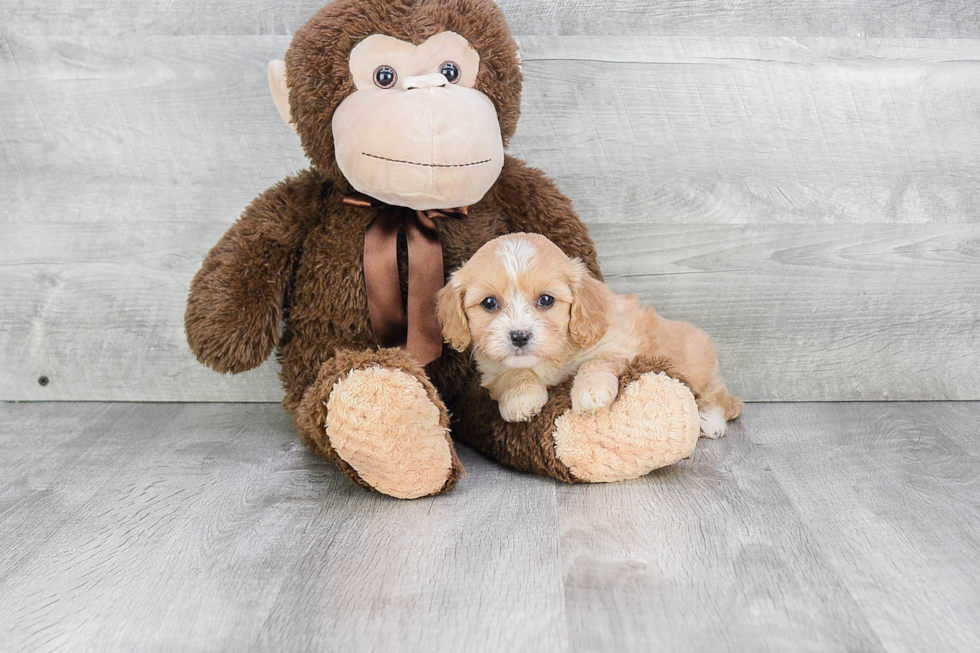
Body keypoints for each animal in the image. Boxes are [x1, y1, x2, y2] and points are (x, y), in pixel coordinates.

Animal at [436, 232, 744, 436]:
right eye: (489, 303)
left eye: (546, 300)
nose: (519, 336)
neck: (551, 357)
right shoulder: (491, 368)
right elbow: (513, 372)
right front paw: (521, 398)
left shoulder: (617, 345)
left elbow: (596, 361)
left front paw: (591, 392)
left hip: (696, 365)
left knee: (718, 397)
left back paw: (710, 422)